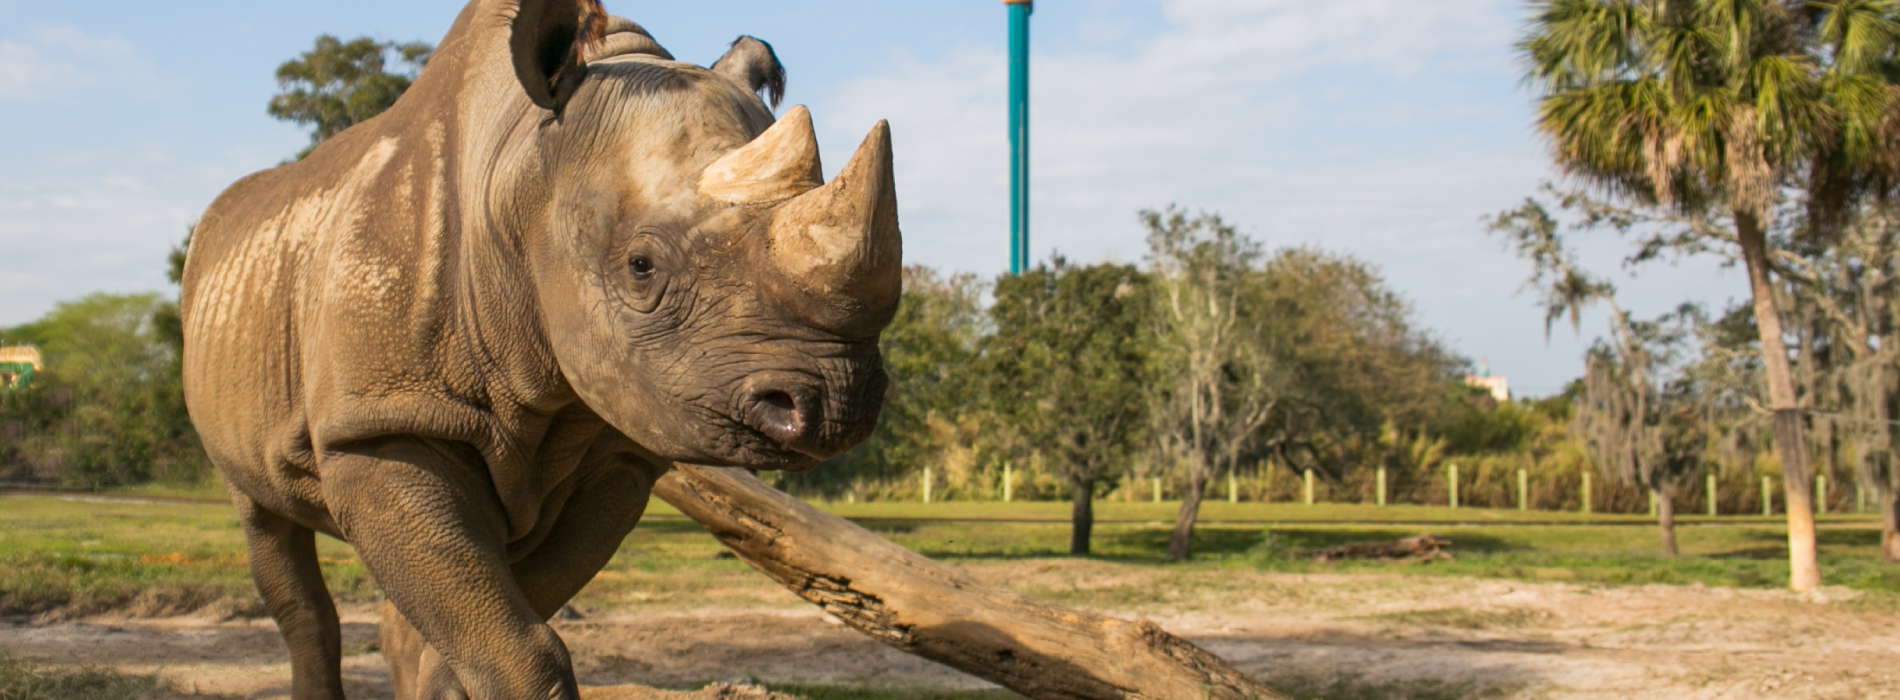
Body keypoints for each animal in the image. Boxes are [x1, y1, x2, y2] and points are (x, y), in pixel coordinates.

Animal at [179, 0, 900, 697]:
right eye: (641, 266)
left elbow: (500, 623)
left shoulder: (619, 450)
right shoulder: (380, 426)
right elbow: (519, 644)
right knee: (267, 527)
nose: (837, 403)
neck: (521, 179)